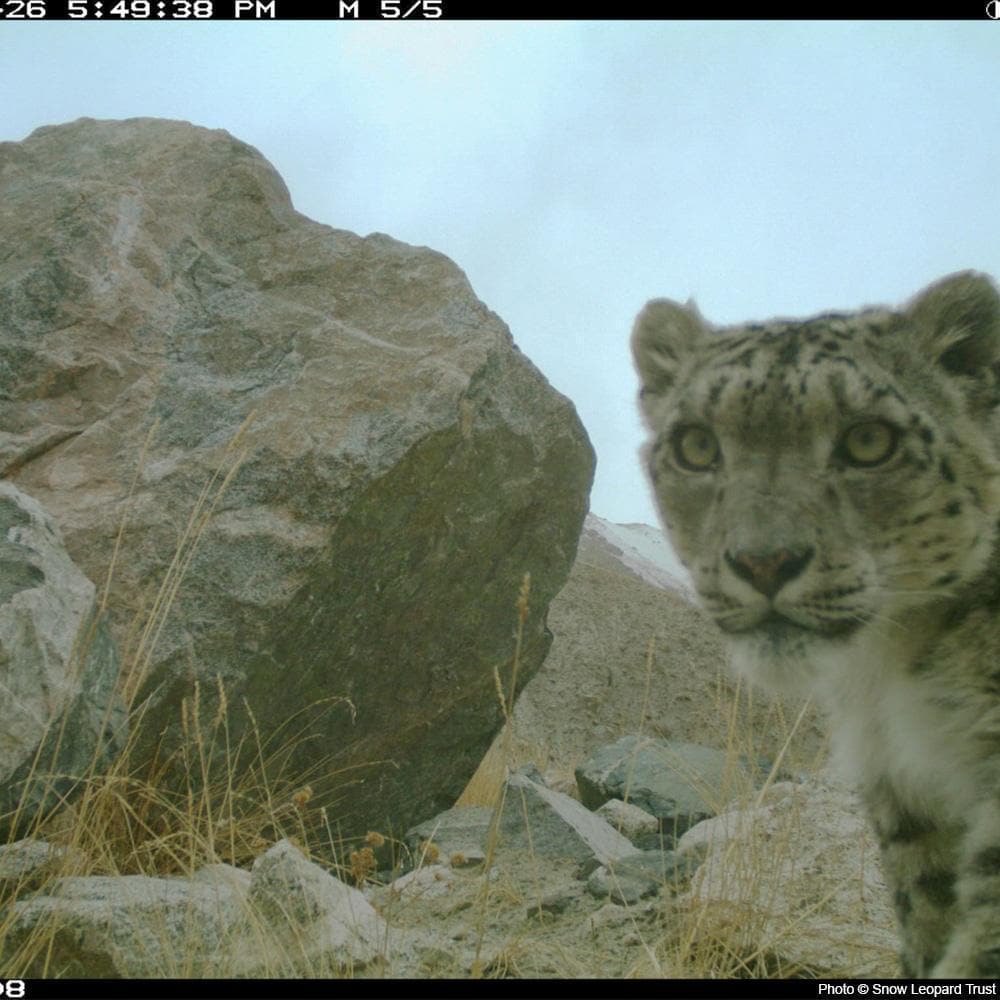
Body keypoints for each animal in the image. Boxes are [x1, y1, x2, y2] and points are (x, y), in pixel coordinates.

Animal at [630, 270, 1000, 978]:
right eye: (696, 444)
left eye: (869, 440)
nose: (763, 561)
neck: (898, 676)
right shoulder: (904, 796)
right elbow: (927, 904)